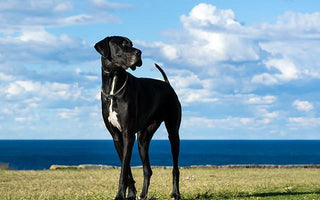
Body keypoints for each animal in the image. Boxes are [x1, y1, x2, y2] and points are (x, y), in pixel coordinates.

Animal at [94, 36, 181, 200]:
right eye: (122, 45)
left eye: (132, 44)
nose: (139, 52)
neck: (114, 84)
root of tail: (167, 84)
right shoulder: (117, 137)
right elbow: (126, 168)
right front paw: (130, 194)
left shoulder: (128, 135)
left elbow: (123, 170)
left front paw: (120, 195)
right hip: (143, 139)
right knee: (147, 169)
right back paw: (143, 194)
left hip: (173, 133)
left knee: (175, 168)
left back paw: (176, 193)